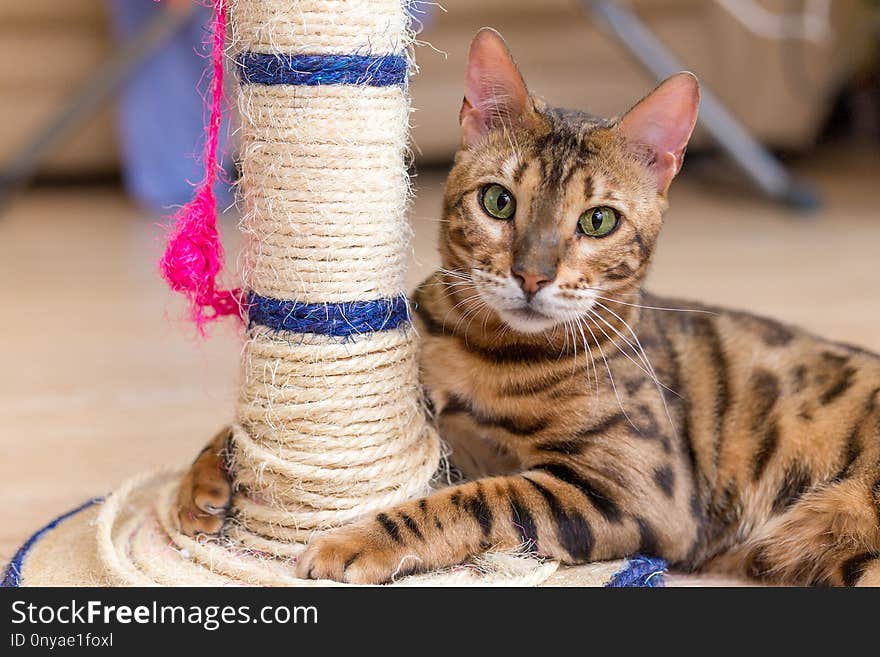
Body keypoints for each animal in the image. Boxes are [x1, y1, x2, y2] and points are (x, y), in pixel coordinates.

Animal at [174, 29, 880, 584]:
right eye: (498, 202)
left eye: (598, 220)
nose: (532, 275)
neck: (487, 350)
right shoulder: (438, 427)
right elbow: (244, 429)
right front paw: (202, 479)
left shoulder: (634, 491)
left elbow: (476, 500)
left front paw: (355, 539)